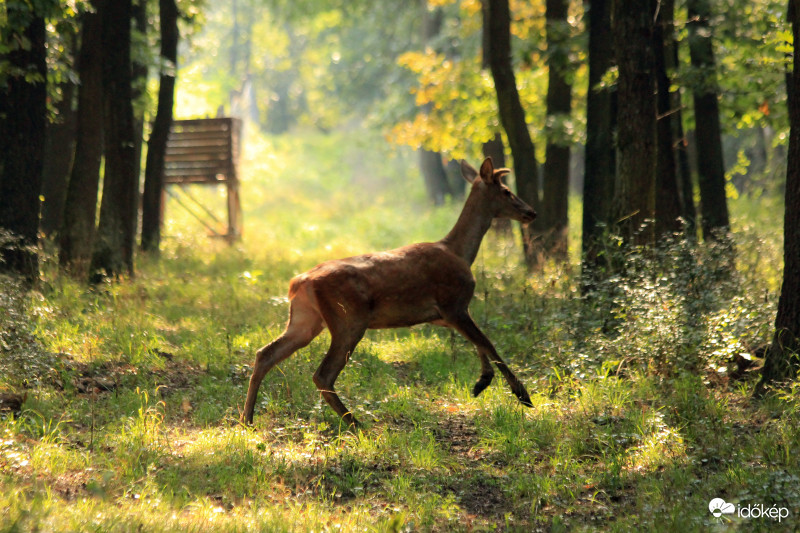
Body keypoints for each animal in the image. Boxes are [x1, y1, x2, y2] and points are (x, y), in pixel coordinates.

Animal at [241, 156, 536, 426]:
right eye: (506, 191)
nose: (531, 212)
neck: (459, 252)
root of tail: (298, 282)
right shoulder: (453, 303)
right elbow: (488, 342)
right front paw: (521, 394)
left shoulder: (441, 315)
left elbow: (478, 343)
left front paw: (481, 383)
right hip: (348, 319)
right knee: (322, 374)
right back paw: (355, 423)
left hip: (306, 320)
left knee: (265, 354)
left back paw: (247, 418)